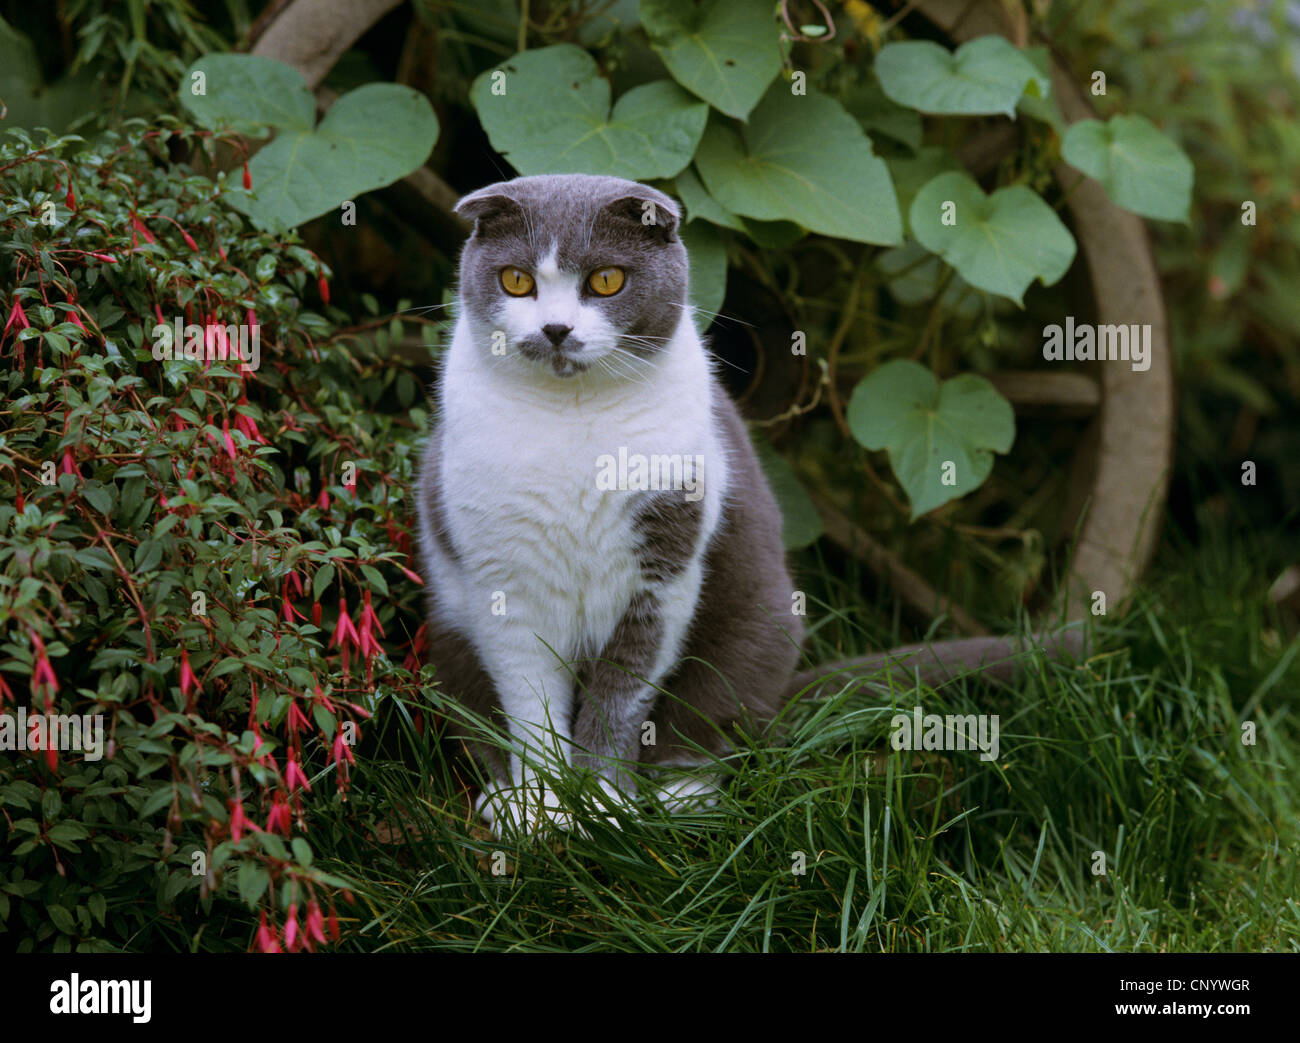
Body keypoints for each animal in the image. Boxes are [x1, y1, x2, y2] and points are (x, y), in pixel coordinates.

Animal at [418, 172, 1086, 837]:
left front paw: (602, 807)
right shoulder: (503, 580)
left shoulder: (664, 564)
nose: (556, 328)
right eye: (516, 280)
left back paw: (680, 800)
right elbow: (529, 703)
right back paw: (501, 801)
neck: (571, 419)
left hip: (757, 624)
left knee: (711, 726)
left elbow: (621, 695)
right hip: (447, 632)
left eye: (606, 280)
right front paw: (541, 810)